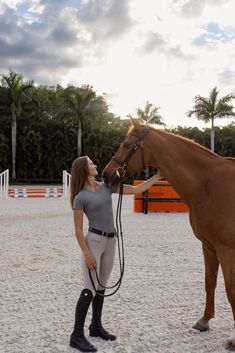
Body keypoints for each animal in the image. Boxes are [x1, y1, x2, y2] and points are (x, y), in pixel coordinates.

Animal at [103, 120, 235, 350]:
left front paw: (234, 339)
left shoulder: (226, 249)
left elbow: (230, 290)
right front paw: (204, 321)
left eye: (126, 144)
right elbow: (210, 282)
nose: (106, 174)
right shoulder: (209, 246)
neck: (209, 184)